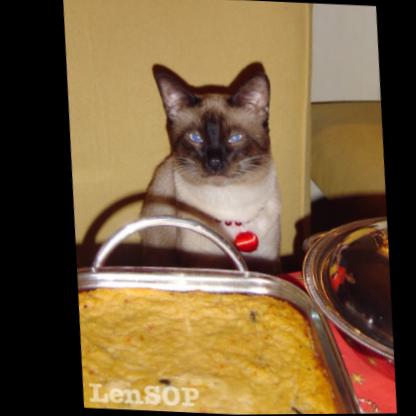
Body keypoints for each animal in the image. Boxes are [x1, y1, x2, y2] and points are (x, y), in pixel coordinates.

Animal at [140, 65, 281, 275]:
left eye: (235, 138)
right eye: (195, 138)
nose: (214, 162)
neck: (230, 203)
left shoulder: (269, 263)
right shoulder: (200, 265)